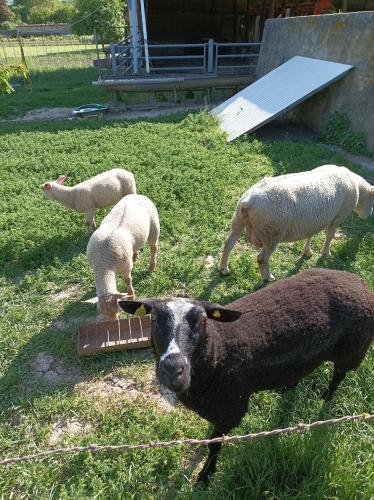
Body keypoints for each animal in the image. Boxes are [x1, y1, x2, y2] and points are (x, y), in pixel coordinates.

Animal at [119, 270, 374, 484]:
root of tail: (357, 280)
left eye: (202, 320)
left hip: (353, 348)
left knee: (339, 373)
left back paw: (327, 396)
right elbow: (210, 440)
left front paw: (205, 475)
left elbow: (215, 446)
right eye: (153, 319)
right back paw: (289, 386)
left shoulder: (230, 409)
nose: (173, 370)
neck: (219, 350)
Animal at [219, 164, 374, 282]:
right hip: (271, 233)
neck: (357, 187)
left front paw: (307, 252)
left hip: (239, 220)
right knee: (262, 259)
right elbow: (329, 236)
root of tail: (249, 200)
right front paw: (326, 253)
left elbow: (311, 235)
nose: (369, 216)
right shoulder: (339, 215)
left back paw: (224, 269)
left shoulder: (313, 220)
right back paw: (267, 278)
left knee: (228, 243)